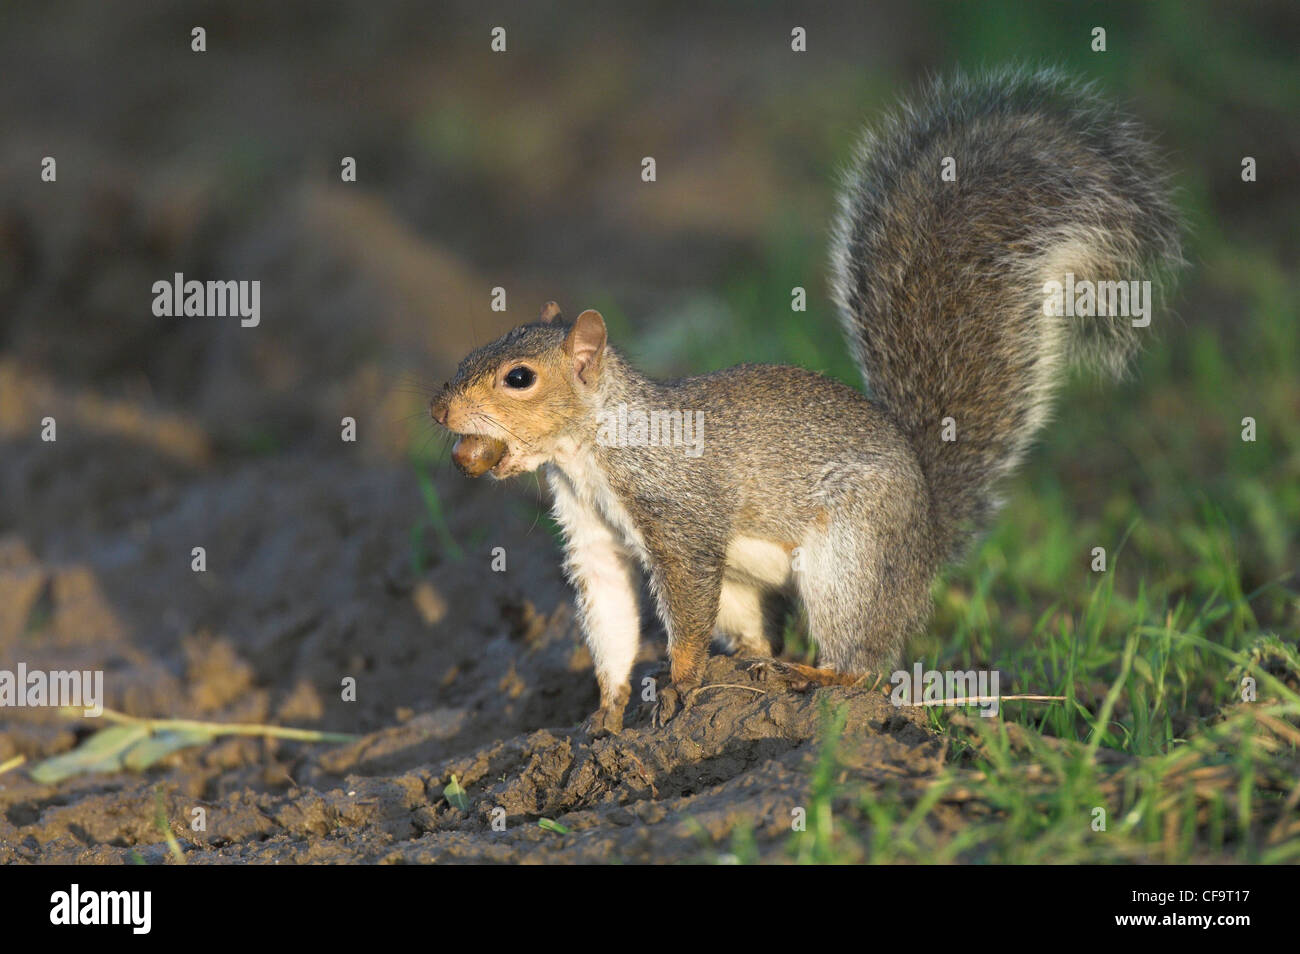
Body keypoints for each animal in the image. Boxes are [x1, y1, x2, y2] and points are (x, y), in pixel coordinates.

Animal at [431, 67, 1182, 736]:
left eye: (519, 377)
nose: (439, 411)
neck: (592, 448)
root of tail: (927, 539)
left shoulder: (683, 516)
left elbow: (686, 610)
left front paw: (681, 683)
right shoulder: (591, 534)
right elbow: (611, 617)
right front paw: (608, 714)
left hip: (849, 559)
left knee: (865, 667)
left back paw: (809, 675)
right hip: (761, 586)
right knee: (769, 634)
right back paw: (755, 663)